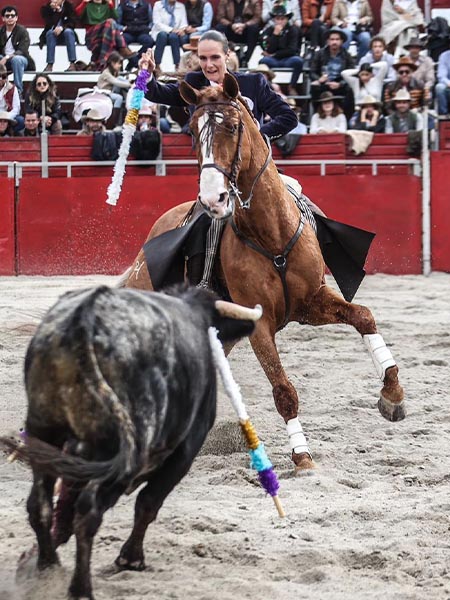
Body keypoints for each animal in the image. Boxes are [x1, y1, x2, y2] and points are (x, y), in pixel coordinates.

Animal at [1, 284, 260, 600]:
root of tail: (84, 318)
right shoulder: (184, 453)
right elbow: (148, 503)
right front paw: (130, 558)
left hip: (43, 428)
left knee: (40, 505)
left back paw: (47, 569)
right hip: (125, 445)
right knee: (88, 511)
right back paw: (80, 588)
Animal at [122, 74, 404, 468]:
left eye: (233, 125)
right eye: (192, 130)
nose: (212, 198)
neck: (271, 234)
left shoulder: (312, 302)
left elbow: (363, 316)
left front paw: (392, 395)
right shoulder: (259, 324)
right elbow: (283, 388)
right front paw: (302, 456)